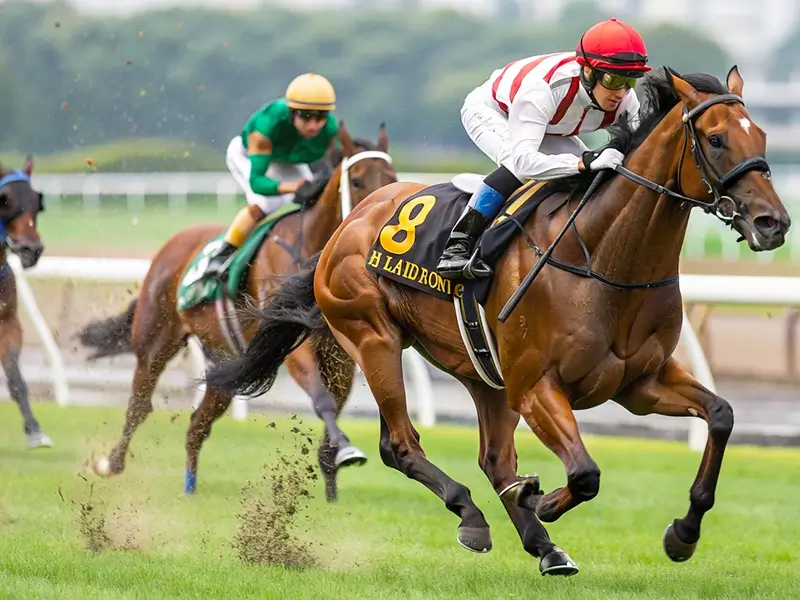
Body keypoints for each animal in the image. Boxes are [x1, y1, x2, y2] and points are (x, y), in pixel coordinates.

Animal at [77, 122, 396, 500]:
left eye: (393, 177)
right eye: (358, 181)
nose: (381, 229)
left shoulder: (340, 356)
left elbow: (332, 411)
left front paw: (333, 483)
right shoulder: (294, 348)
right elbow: (322, 400)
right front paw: (346, 451)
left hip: (226, 365)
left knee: (196, 425)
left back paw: (190, 487)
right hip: (156, 339)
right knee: (140, 404)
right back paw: (110, 464)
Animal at [204, 66, 791, 575]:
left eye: (761, 135)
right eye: (715, 139)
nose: (774, 223)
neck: (603, 258)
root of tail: (350, 222)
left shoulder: (639, 382)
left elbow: (721, 415)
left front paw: (682, 533)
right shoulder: (537, 386)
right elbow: (585, 474)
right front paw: (545, 500)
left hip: (482, 372)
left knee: (493, 459)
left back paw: (544, 545)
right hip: (373, 337)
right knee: (401, 444)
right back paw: (476, 517)